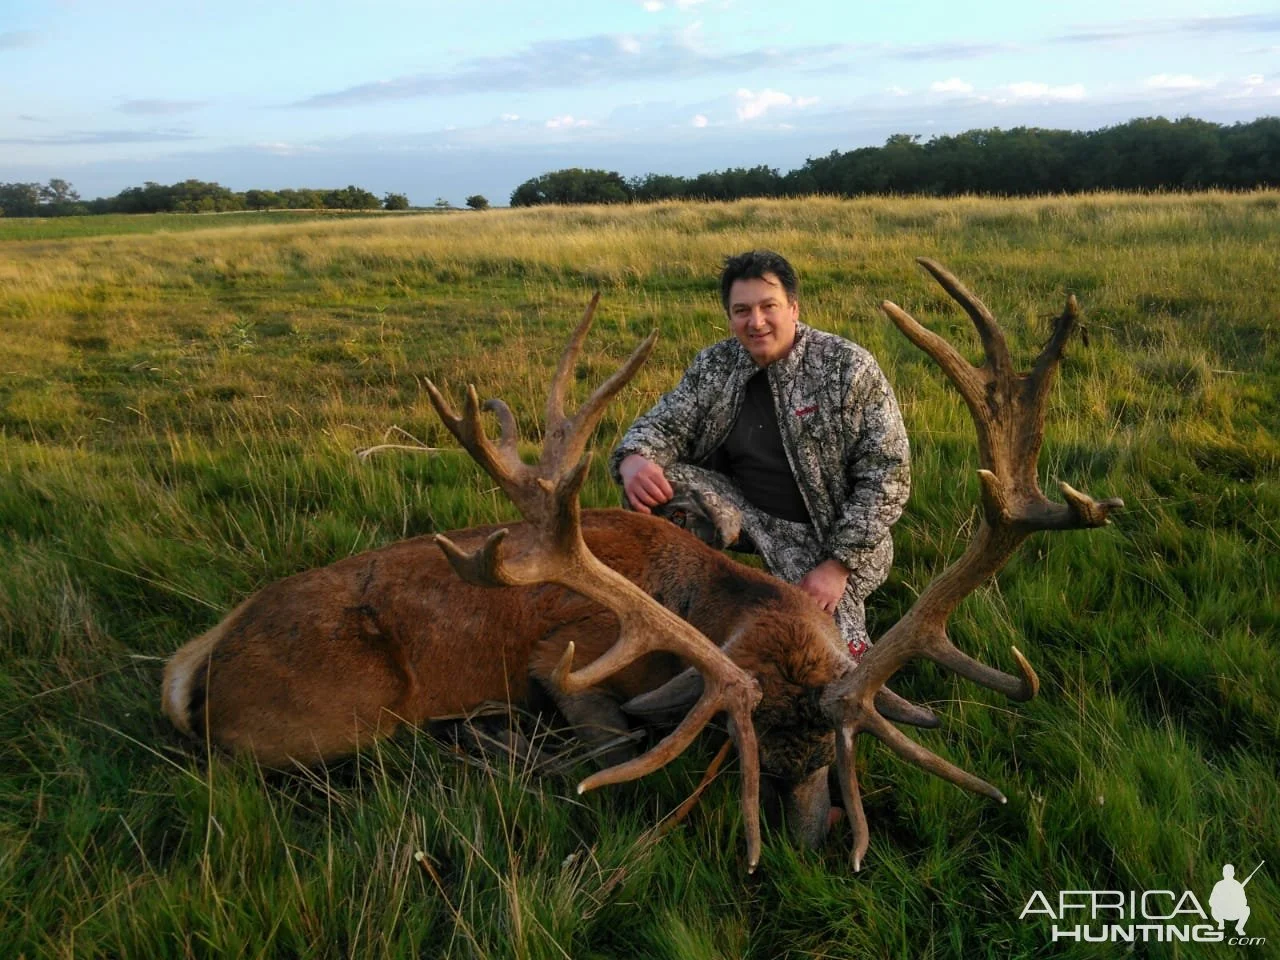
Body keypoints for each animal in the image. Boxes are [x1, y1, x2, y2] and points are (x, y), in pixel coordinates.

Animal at [162, 259, 1121, 871]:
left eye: (830, 756)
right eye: (745, 752)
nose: (809, 848)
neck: (709, 605)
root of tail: (206, 659)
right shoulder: (565, 658)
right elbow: (617, 736)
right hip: (331, 721)